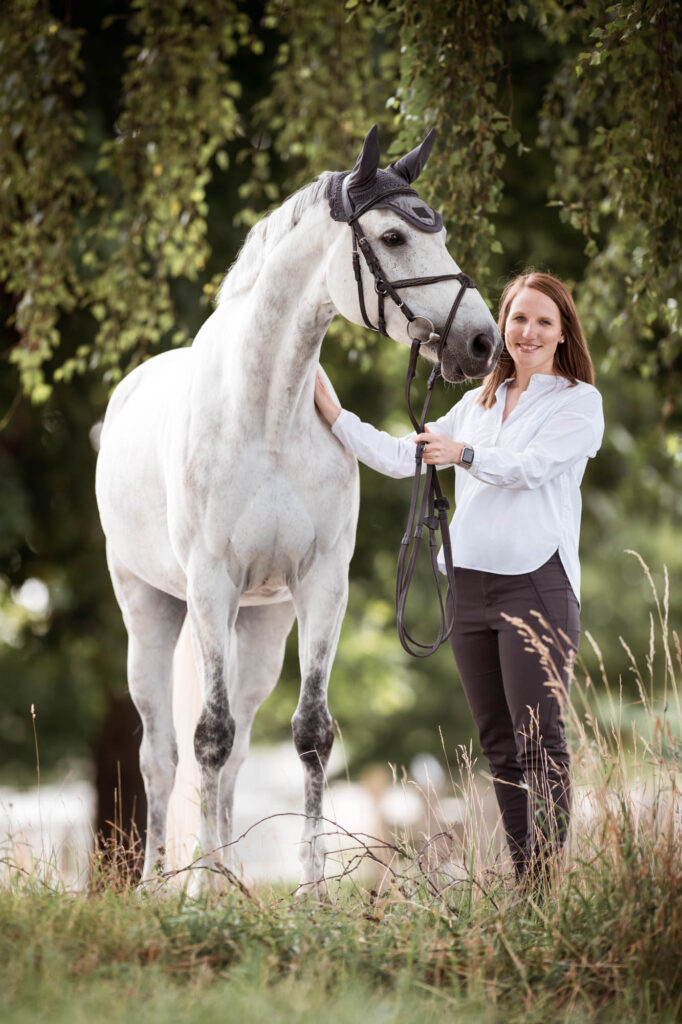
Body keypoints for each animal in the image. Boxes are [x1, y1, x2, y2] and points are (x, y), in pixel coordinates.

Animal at [95, 125, 502, 891]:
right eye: (394, 236)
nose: (481, 343)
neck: (267, 416)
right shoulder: (209, 585)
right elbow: (206, 737)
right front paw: (204, 893)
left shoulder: (321, 586)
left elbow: (310, 733)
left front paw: (310, 890)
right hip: (150, 609)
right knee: (162, 754)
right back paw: (160, 886)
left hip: (258, 627)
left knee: (234, 754)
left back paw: (221, 875)